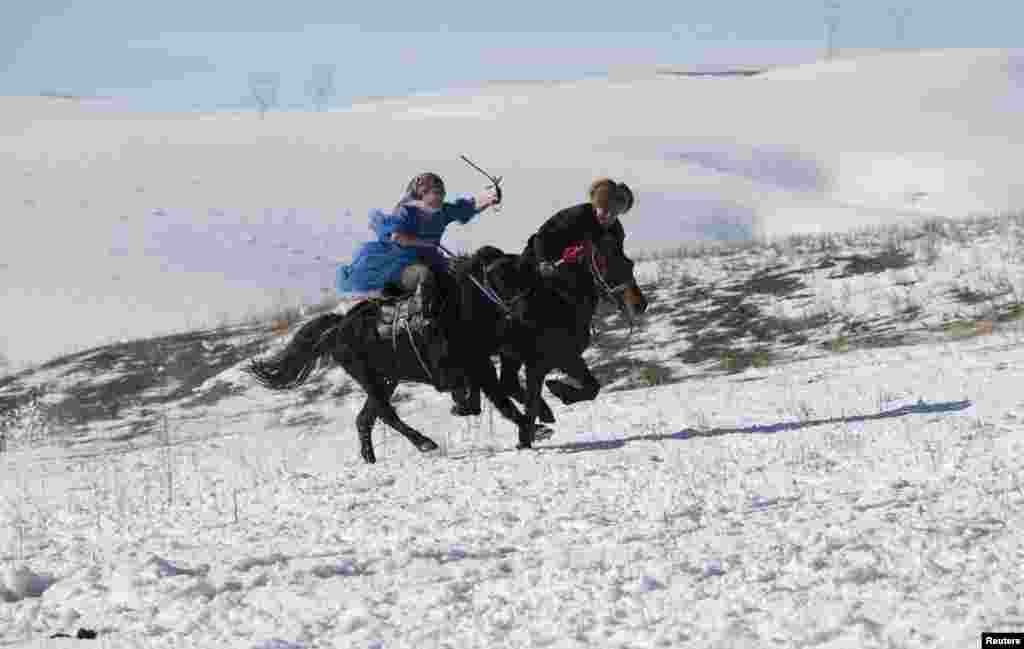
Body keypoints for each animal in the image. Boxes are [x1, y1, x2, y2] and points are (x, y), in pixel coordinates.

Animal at [245, 244, 544, 462]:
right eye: (503, 275)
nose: (526, 311)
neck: (463, 306)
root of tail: (339, 327)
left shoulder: (479, 366)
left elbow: (488, 398)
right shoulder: (476, 367)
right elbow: (500, 400)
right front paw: (532, 428)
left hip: (387, 380)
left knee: (365, 419)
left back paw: (371, 458)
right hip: (371, 379)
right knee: (386, 415)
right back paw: (425, 443)